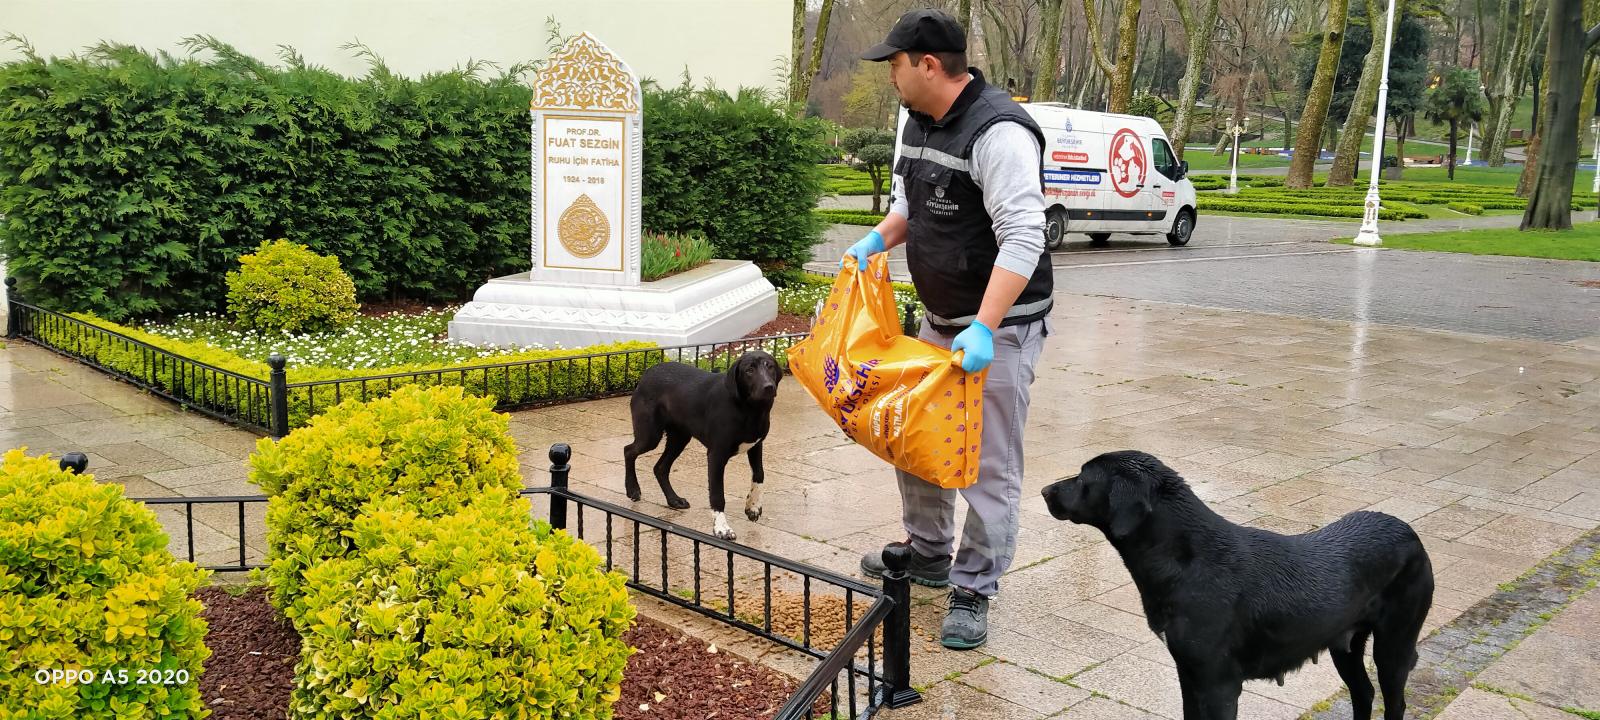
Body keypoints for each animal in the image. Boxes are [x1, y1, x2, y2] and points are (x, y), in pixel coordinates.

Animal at [620, 348, 777, 540]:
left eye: (770, 366)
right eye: (749, 370)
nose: (768, 387)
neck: (749, 409)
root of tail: (648, 373)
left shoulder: (756, 445)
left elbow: (759, 475)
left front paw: (753, 506)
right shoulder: (716, 455)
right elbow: (717, 494)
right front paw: (722, 528)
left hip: (679, 438)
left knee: (660, 467)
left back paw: (674, 500)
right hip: (650, 435)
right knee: (628, 451)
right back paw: (633, 489)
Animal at [1043, 451, 1433, 720]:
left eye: (1083, 479)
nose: (1045, 489)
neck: (1189, 561)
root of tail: (1409, 531)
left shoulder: (1220, 686)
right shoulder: (1189, 676)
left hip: (1394, 646)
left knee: (1394, 702)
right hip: (1345, 645)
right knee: (1363, 693)